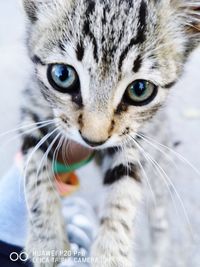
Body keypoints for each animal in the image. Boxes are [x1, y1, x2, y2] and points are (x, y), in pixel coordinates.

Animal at [20, 0, 200, 266]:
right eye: (63, 75)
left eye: (140, 89)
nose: (93, 140)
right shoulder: (31, 108)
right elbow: (34, 168)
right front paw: (47, 239)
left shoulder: (133, 139)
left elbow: (124, 188)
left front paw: (112, 253)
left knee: (160, 223)